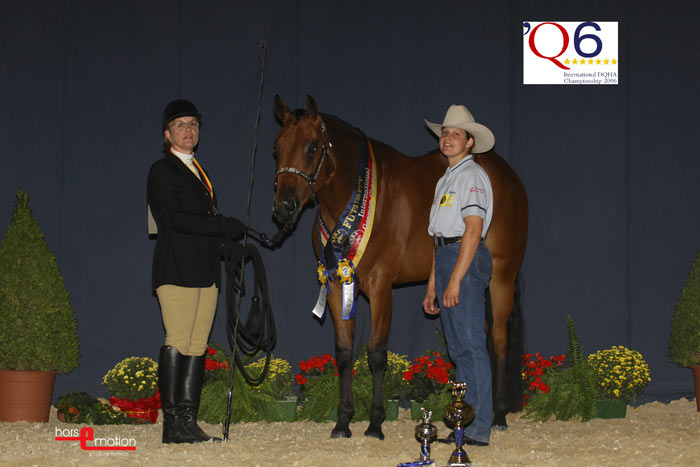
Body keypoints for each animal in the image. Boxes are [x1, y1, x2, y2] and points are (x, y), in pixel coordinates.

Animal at [271, 95, 528, 440]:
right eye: (277, 147)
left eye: (312, 147)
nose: (282, 208)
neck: (357, 196)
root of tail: (509, 177)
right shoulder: (338, 284)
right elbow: (344, 352)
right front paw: (343, 422)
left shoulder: (381, 286)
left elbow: (377, 354)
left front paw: (375, 423)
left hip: (501, 277)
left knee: (498, 341)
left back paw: (498, 416)